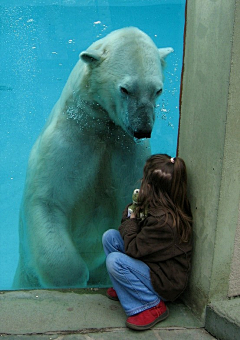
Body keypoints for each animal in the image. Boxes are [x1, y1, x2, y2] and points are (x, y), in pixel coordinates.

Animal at [13, 26, 172, 288]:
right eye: (125, 89)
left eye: (157, 90)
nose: (143, 129)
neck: (101, 125)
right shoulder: (69, 140)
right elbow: (48, 200)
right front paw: (73, 279)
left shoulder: (127, 149)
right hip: (24, 274)